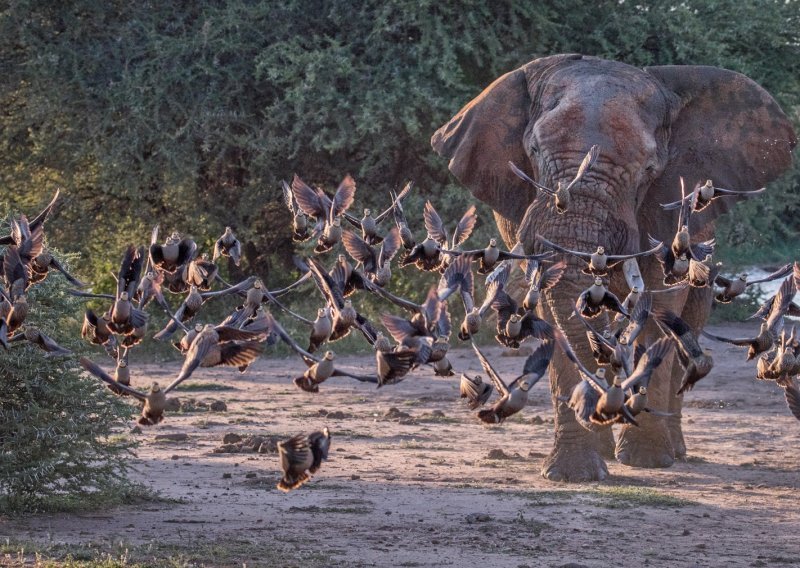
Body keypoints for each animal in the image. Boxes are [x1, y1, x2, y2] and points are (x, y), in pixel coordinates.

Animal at [434, 53, 796, 482]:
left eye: (650, 170)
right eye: (533, 151)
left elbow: (660, 311)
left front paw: (646, 460)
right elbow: (553, 313)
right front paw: (573, 474)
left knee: (686, 327)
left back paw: (670, 449)